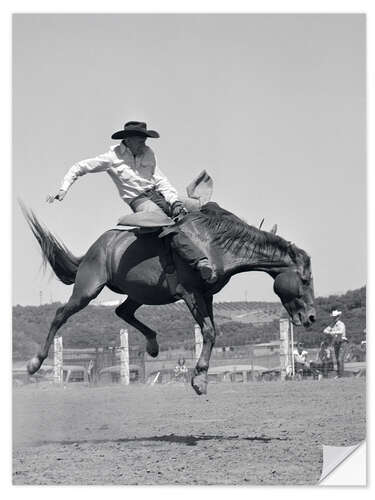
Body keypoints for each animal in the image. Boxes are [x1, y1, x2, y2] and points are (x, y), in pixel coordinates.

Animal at [22, 180, 316, 394]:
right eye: (305, 279)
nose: (311, 317)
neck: (214, 243)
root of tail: (95, 248)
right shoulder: (191, 293)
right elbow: (209, 332)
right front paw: (199, 380)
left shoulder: (206, 295)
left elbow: (211, 332)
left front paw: (200, 377)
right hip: (87, 288)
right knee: (61, 314)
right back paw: (34, 362)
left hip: (140, 292)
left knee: (123, 312)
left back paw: (153, 344)